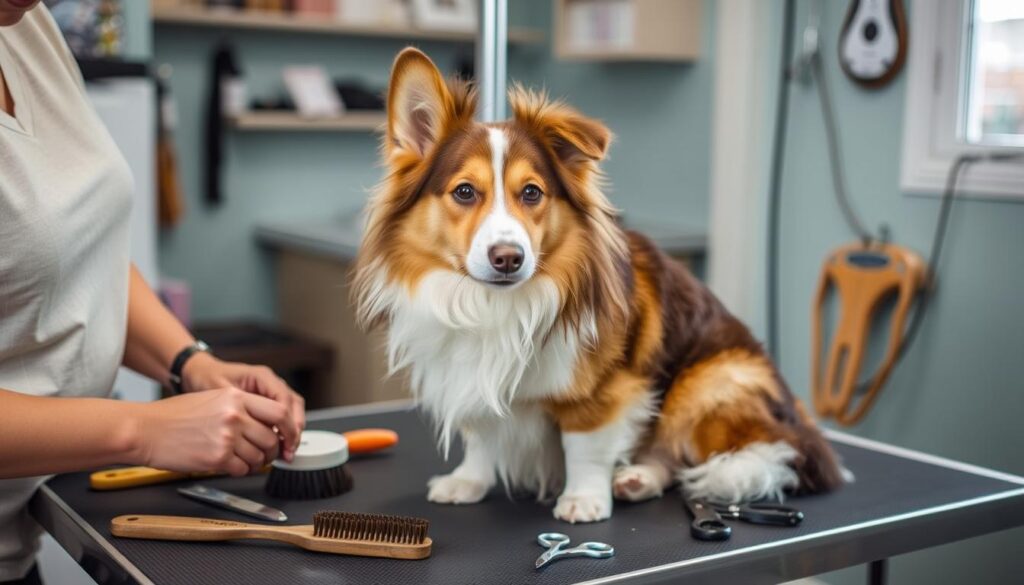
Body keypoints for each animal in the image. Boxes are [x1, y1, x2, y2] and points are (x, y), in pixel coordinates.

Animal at [356, 49, 843, 522]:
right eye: (463, 192)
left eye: (531, 193)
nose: (509, 258)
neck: (497, 303)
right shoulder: (468, 381)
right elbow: (480, 436)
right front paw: (468, 481)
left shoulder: (604, 388)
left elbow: (584, 446)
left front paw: (583, 500)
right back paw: (638, 479)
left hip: (708, 381)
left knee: (777, 452)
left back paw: (721, 473)